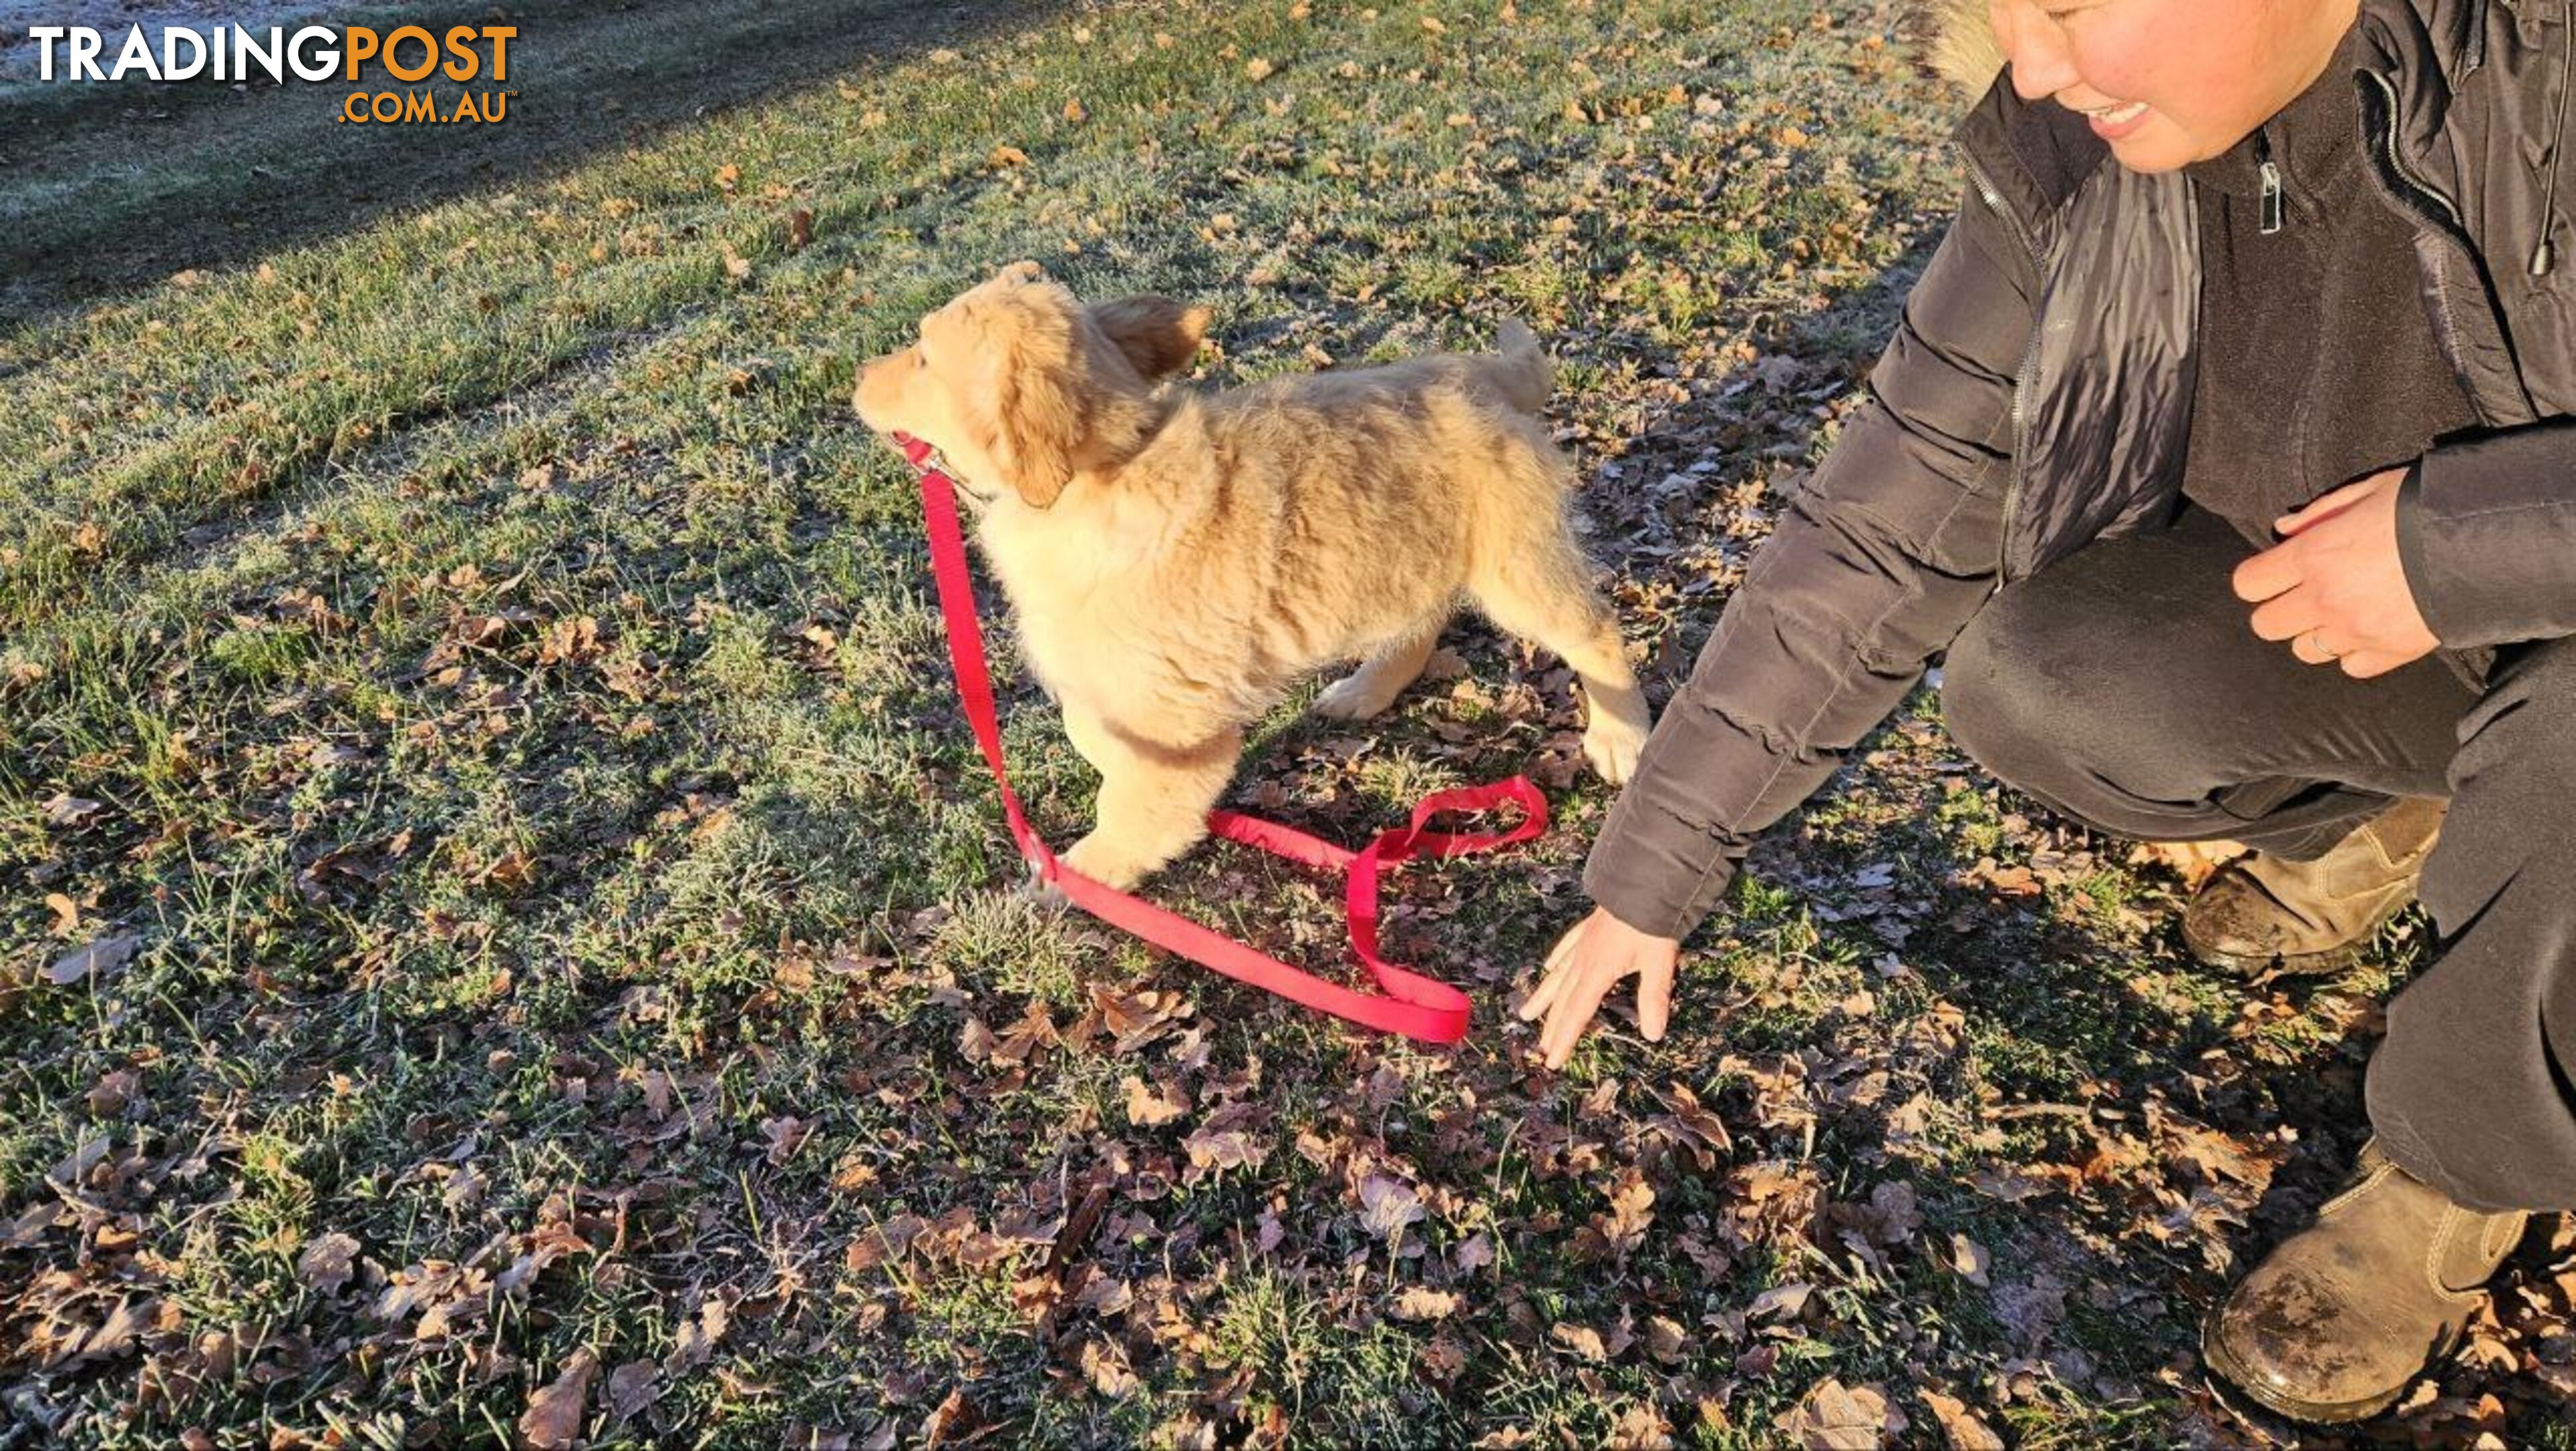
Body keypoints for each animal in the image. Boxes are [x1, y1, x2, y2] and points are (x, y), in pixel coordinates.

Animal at [850, 265, 1648, 891]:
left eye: (923, 360)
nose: (856, 378)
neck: (1101, 479)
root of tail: (1478, 372)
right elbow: (1093, 731)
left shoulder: (1173, 711)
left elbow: (1132, 804)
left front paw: (1082, 873)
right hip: (1399, 552)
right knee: (1419, 626)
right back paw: (1364, 691)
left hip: (1516, 567)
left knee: (1596, 633)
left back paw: (1621, 739)